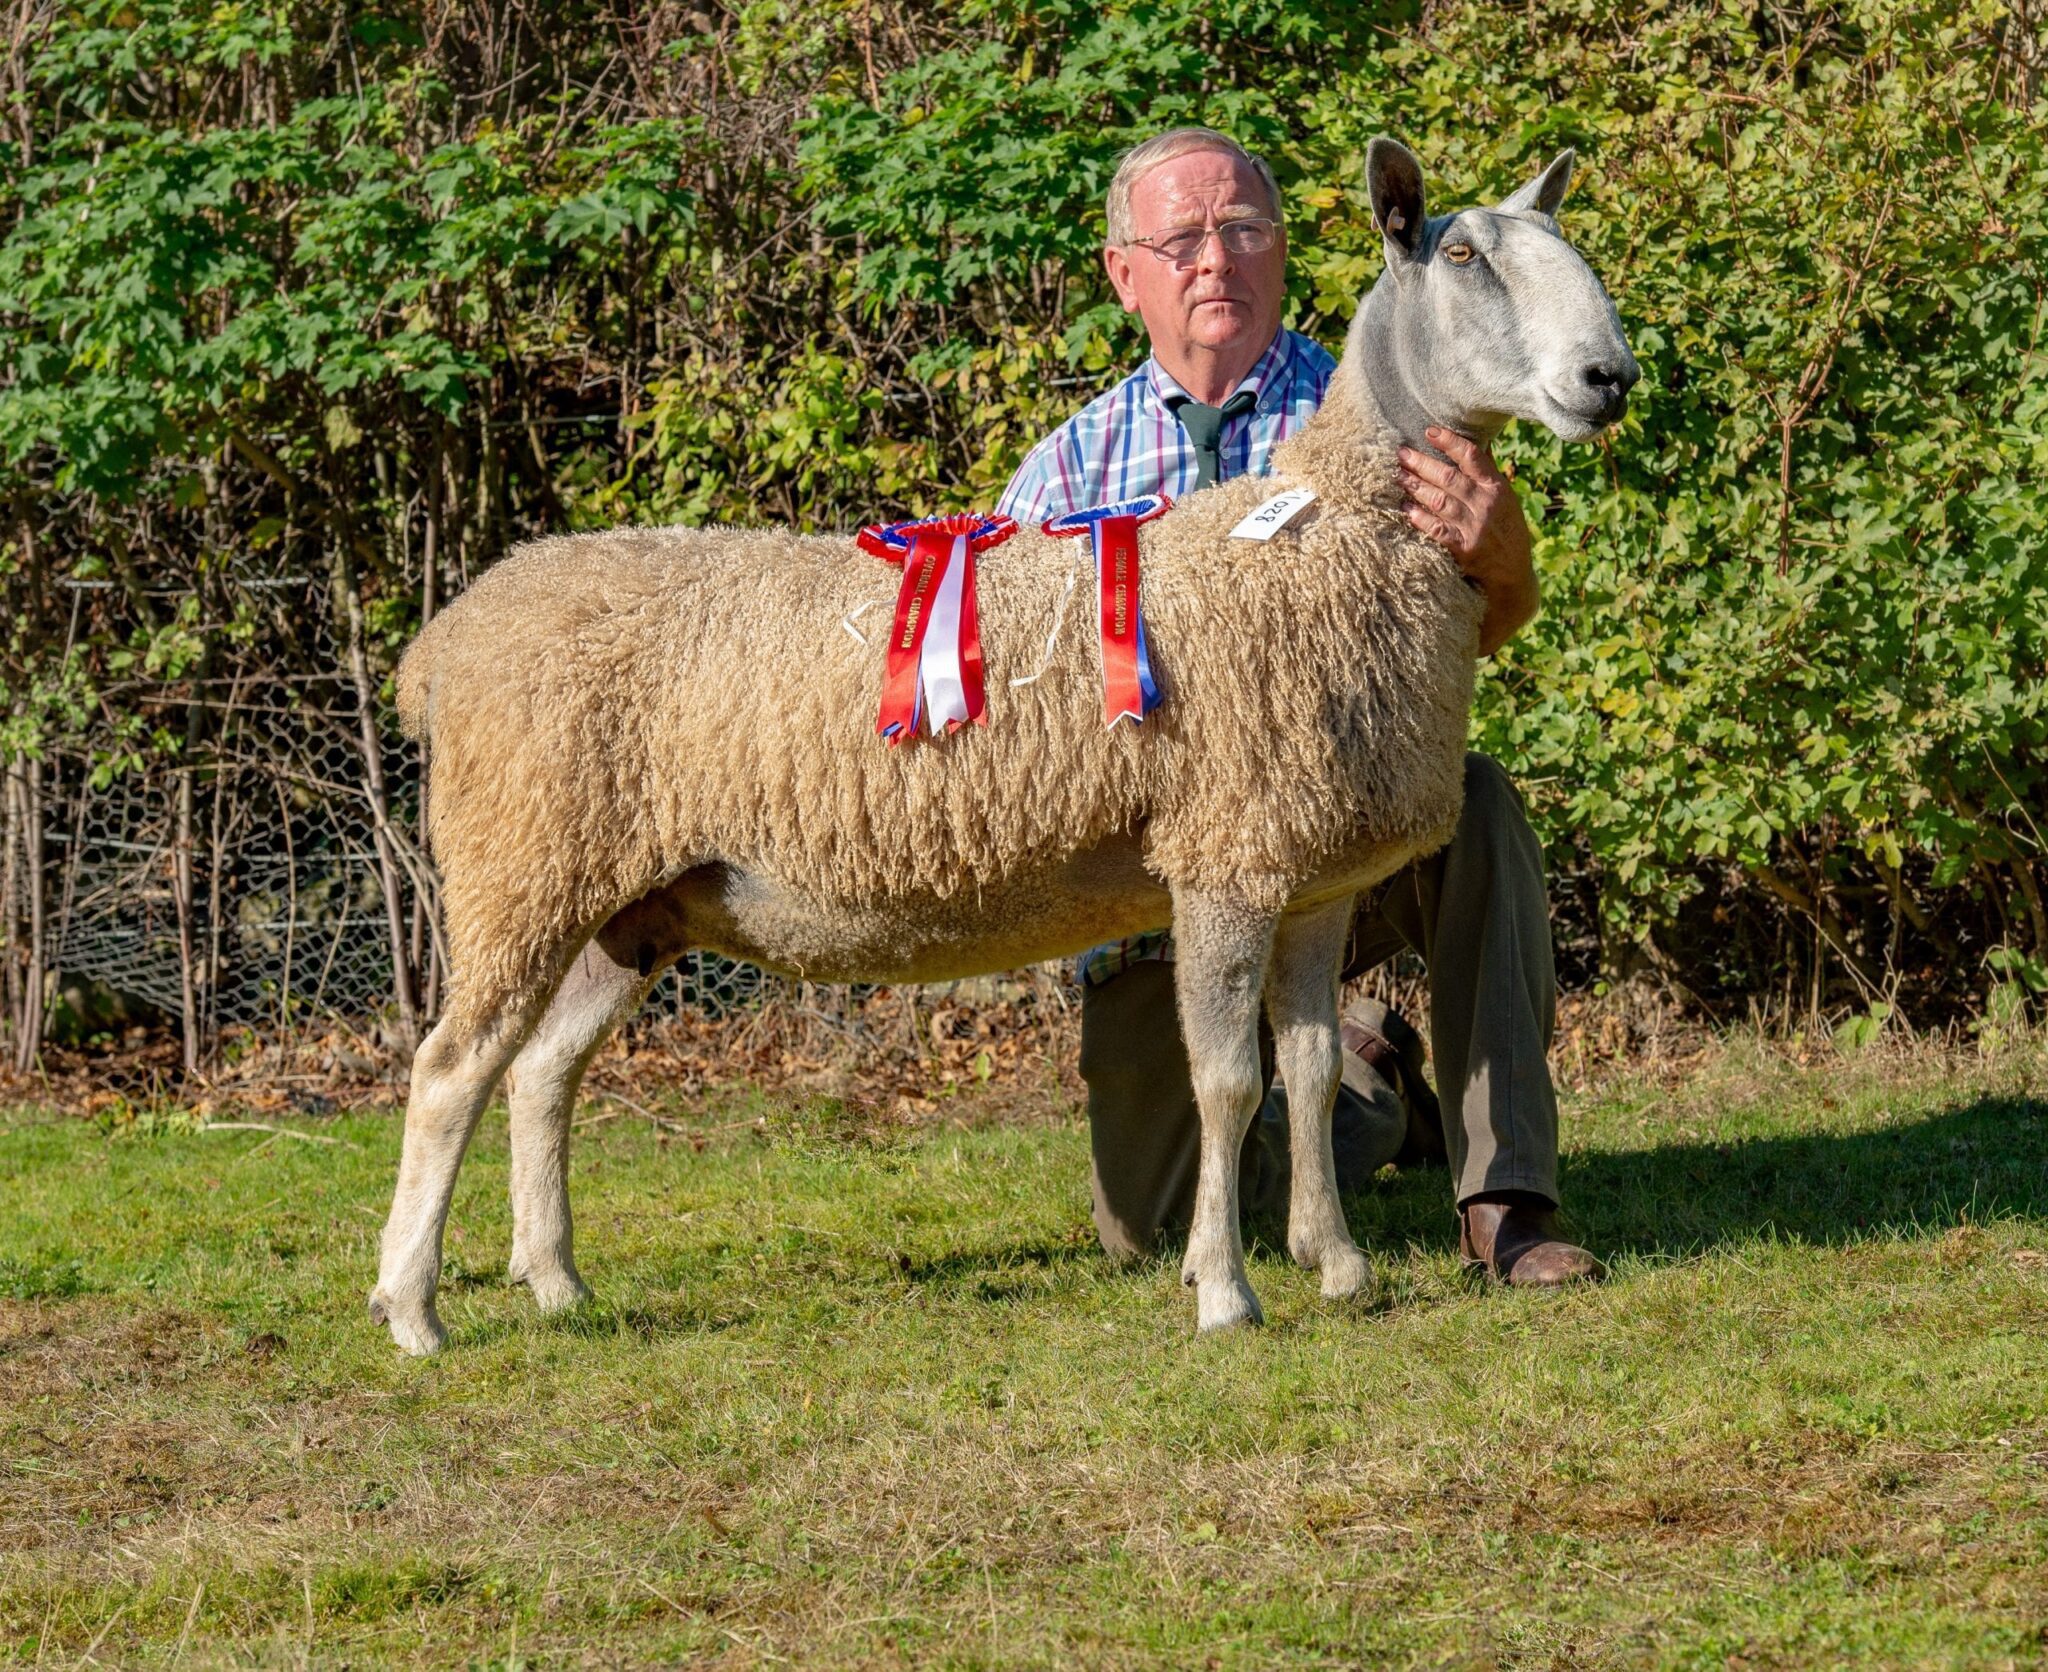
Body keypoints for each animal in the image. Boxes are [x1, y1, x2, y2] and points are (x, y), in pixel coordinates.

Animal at [376, 137, 1638, 1352]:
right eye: (1463, 256)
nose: (1609, 378)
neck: (1324, 530)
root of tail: (443, 641)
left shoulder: (1311, 873)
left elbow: (1314, 1067)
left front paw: (1333, 1265)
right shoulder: (1223, 859)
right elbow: (1230, 1083)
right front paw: (1225, 1291)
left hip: (629, 898)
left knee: (541, 1071)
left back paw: (556, 1283)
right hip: (521, 863)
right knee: (449, 1071)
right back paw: (413, 1309)